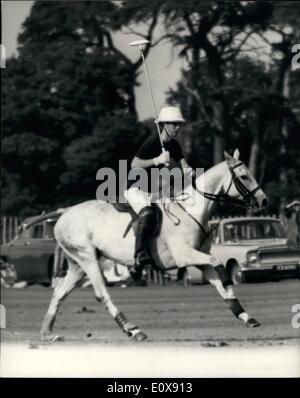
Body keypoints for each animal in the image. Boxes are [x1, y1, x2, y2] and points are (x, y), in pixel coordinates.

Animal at [40, 149, 268, 342]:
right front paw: (230, 282)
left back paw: (48, 332)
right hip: (86, 257)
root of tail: (63, 214)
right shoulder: (184, 255)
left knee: (59, 292)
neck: (191, 211)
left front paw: (246, 316)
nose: (264, 201)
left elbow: (219, 284)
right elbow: (218, 264)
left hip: (78, 263)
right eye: (244, 176)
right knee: (100, 293)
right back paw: (133, 329)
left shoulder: (198, 258)